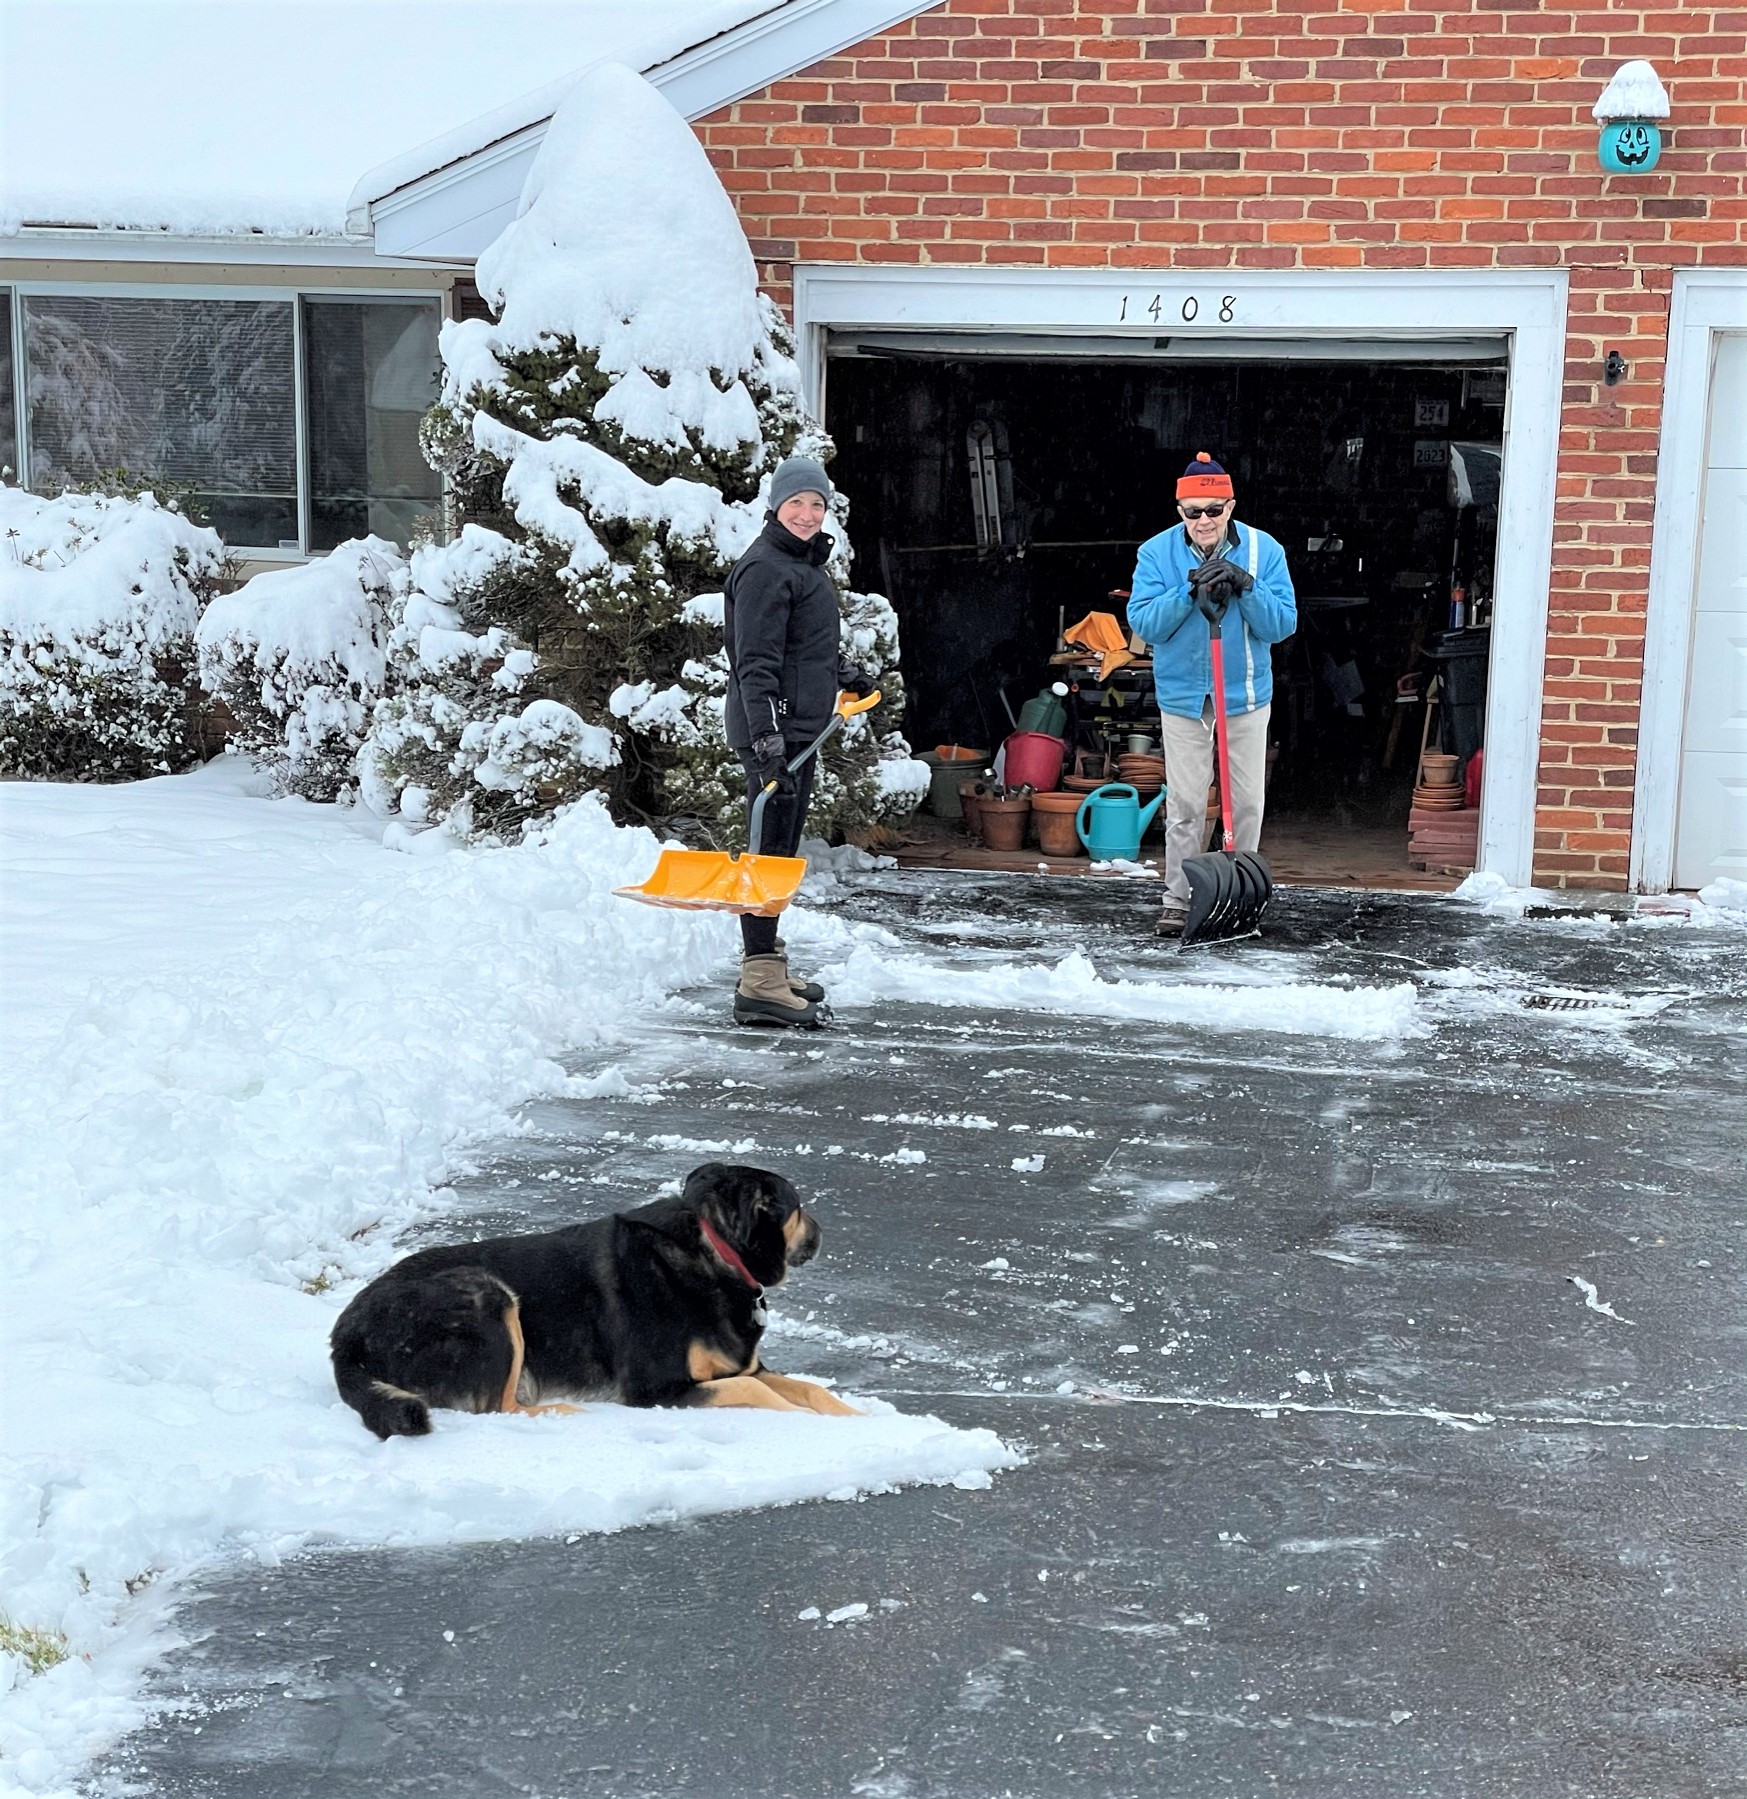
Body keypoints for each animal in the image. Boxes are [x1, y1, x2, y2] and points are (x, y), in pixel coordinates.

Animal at [331, 1158, 856, 1439]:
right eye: (798, 1208)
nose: (823, 1234)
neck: (715, 1252)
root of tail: (344, 1337)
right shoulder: (655, 1389)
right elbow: (758, 1391)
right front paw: (802, 1422)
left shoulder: (744, 1365)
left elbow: (807, 1387)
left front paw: (853, 1417)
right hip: (488, 1296)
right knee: (499, 1407)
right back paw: (563, 1413)